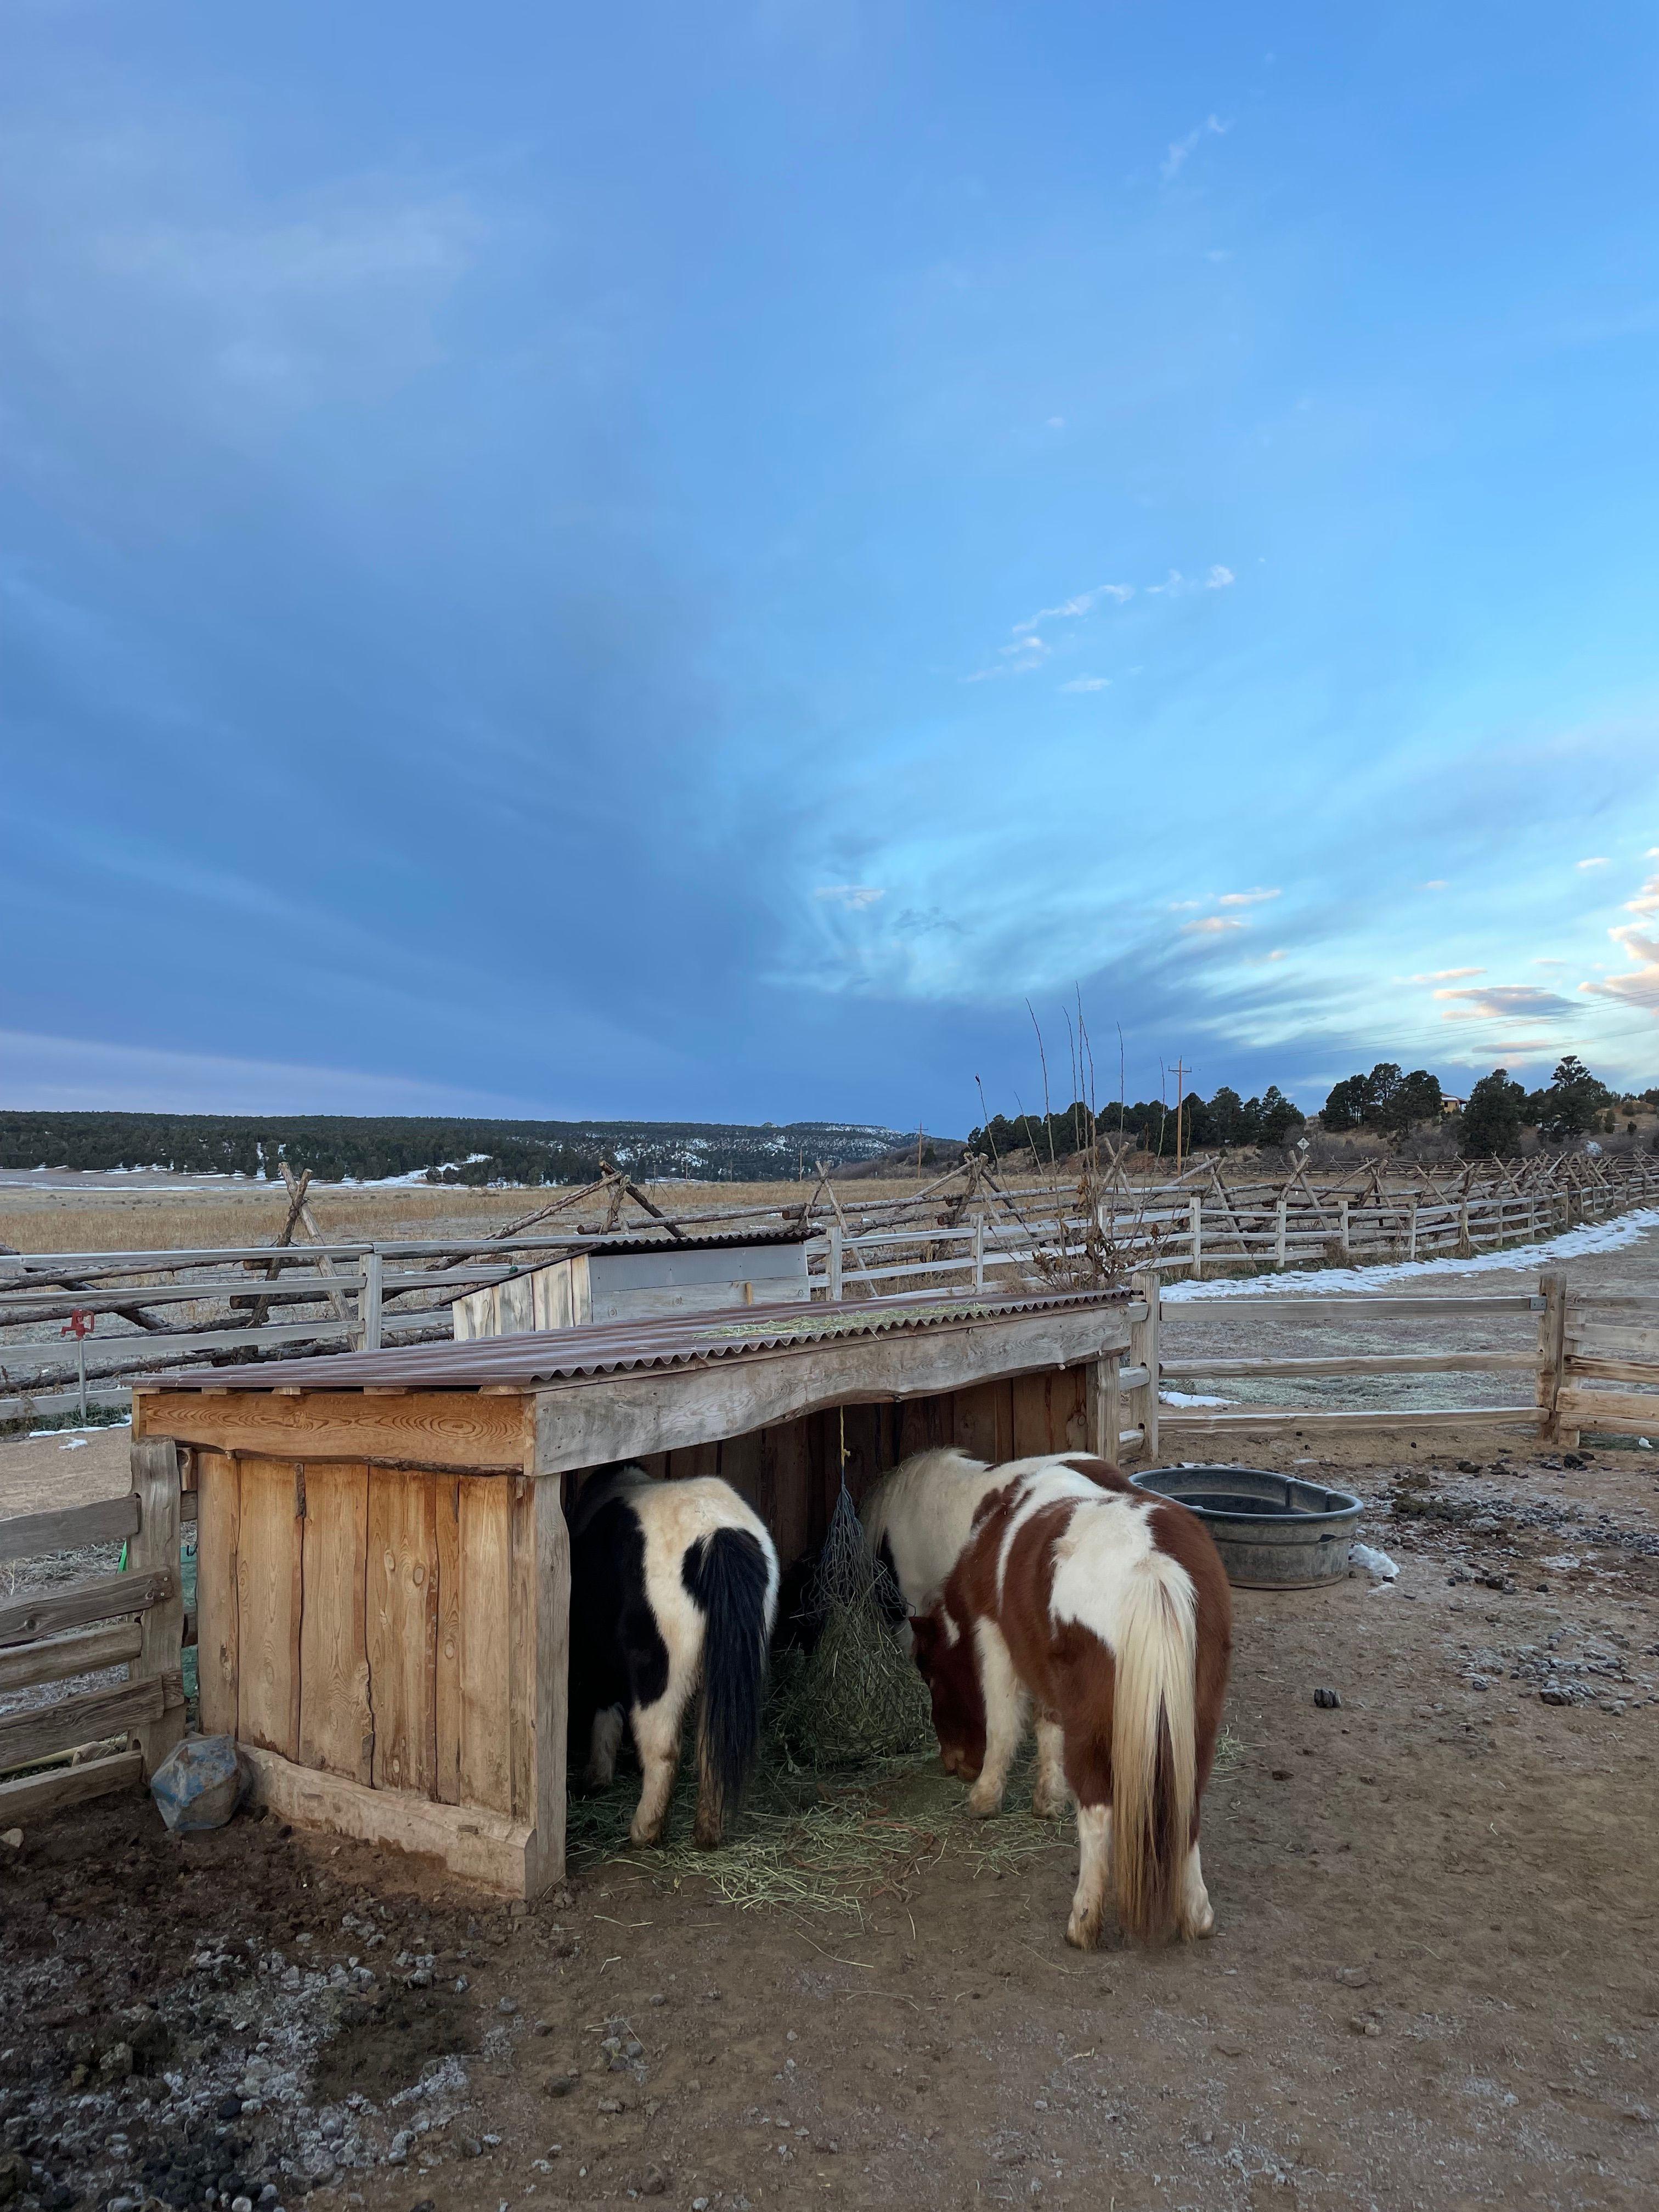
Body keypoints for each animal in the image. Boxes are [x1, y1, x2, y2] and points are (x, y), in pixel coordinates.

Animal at [571, 1469, 783, 1849]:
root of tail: (715, 1536)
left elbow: (605, 1710)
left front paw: (596, 1777)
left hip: (660, 1671)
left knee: (663, 1745)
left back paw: (645, 1831)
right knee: (712, 1746)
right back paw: (708, 1832)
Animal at [916, 1460, 1229, 1946]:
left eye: (931, 1676)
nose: (954, 1764)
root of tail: (1151, 1565)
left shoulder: (996, 1639)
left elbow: (1004, 1725)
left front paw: (985, 1796)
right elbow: (1049, 1724)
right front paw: (1049, 1796)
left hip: (1098, 1728)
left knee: (1098, 1810)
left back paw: (1083, 1920)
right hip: (1194, 1725)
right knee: (1189, 1806)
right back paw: (1196, 1915)